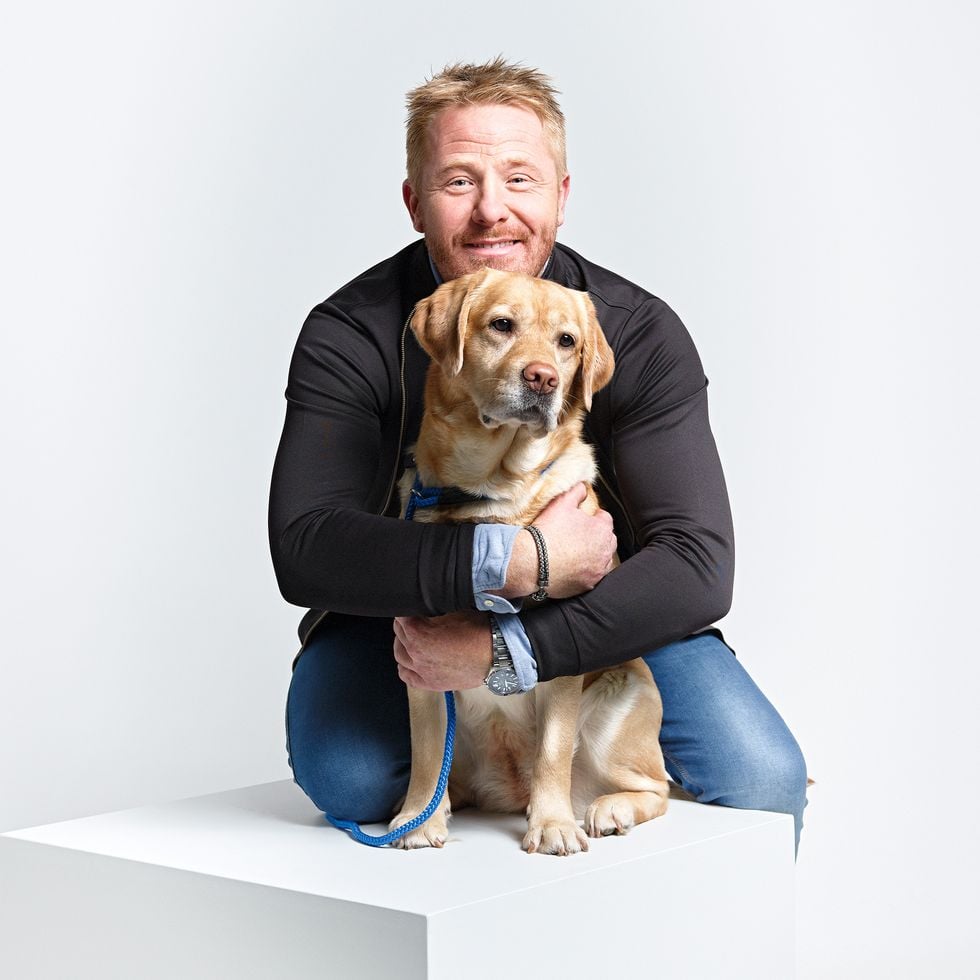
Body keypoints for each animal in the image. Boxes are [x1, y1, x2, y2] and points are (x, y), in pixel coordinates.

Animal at [391, 267, 670, 855]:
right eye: (501, 325)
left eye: (567, 341)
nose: (543, 378)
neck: (493, 497)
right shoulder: (417, 660)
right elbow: (426, 752)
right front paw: (417, 821)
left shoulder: (565, 652)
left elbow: (552, 751)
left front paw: (553, 825)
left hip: (619, 699)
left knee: (655, 787)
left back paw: (608, 810)